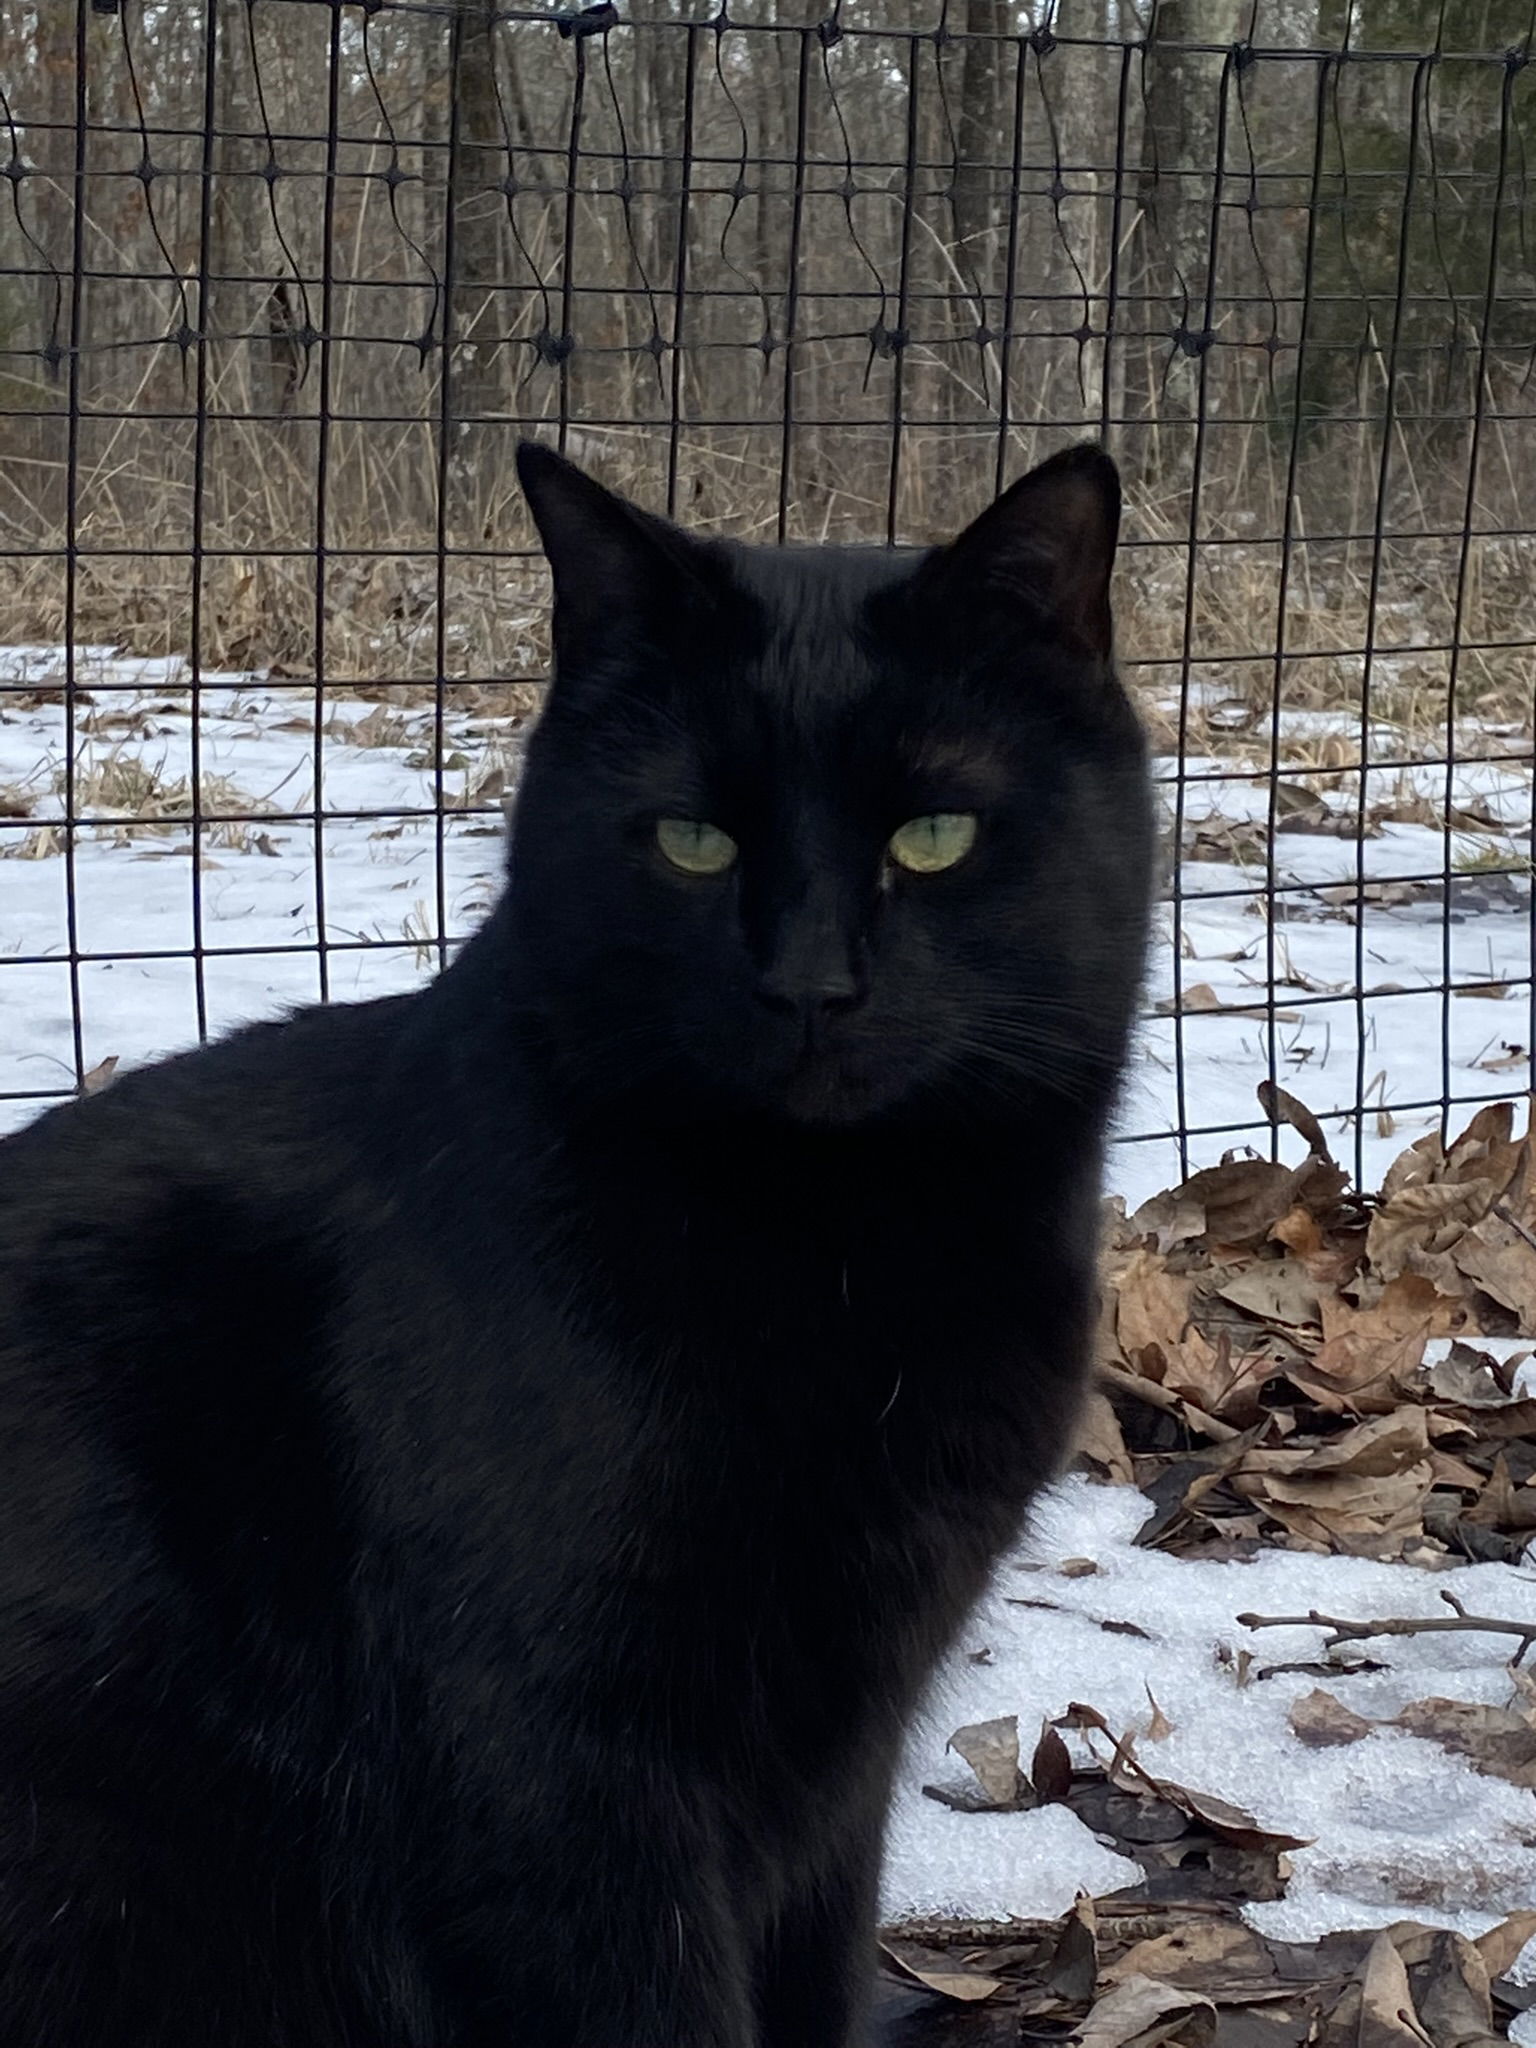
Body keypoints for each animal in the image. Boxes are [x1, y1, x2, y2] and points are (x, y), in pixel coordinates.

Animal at [0, 440, 1155, 2039]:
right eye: (691, 839)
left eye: (933, 837)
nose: (810, 986)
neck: (834, 1257)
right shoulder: (554, 1765)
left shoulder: (840, 1770)